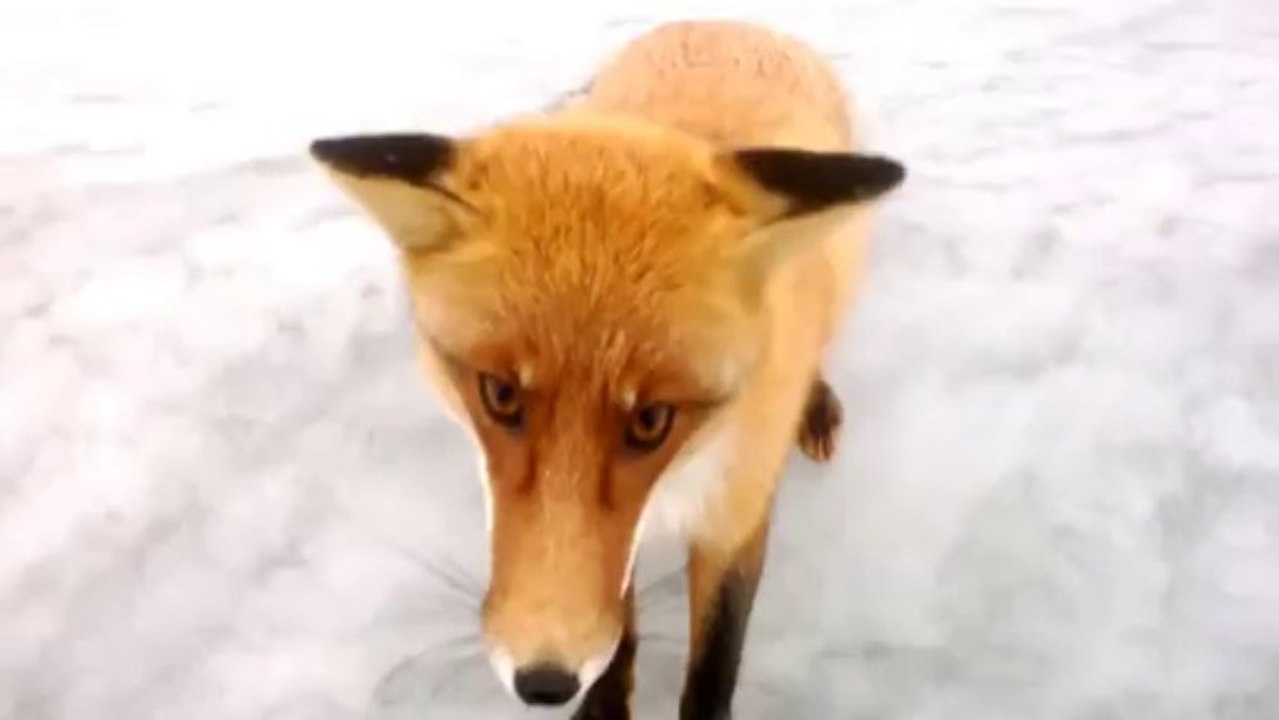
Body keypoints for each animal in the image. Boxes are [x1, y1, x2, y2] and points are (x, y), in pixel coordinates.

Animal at [308, 19, 905, 720]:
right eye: (500, 395)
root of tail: (728, 24)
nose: (543, 682)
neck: (682, 475)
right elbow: (618, 636)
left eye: (652, 419)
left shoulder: (736, 512)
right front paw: (598, 703)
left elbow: (714, 664)